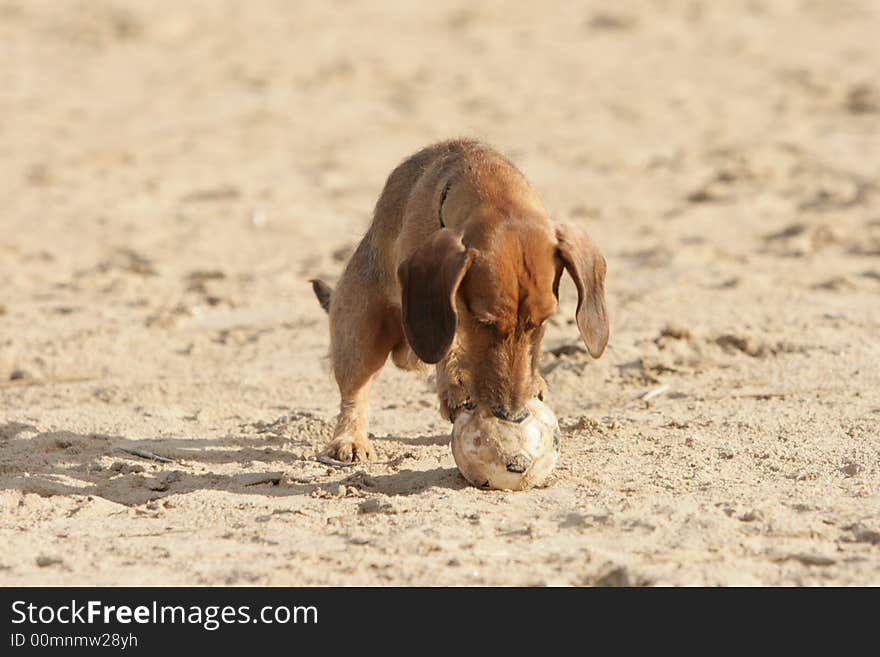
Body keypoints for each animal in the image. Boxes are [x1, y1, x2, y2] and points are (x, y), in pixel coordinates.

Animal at [310, 140, 604, 462]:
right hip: (359, 336)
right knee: (354, 393)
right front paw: (454, 387)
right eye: (485, 322)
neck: (489, 184)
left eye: (542, 323)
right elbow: (449, 345)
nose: (511, 415)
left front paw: (533, 380)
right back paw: (349, 439)